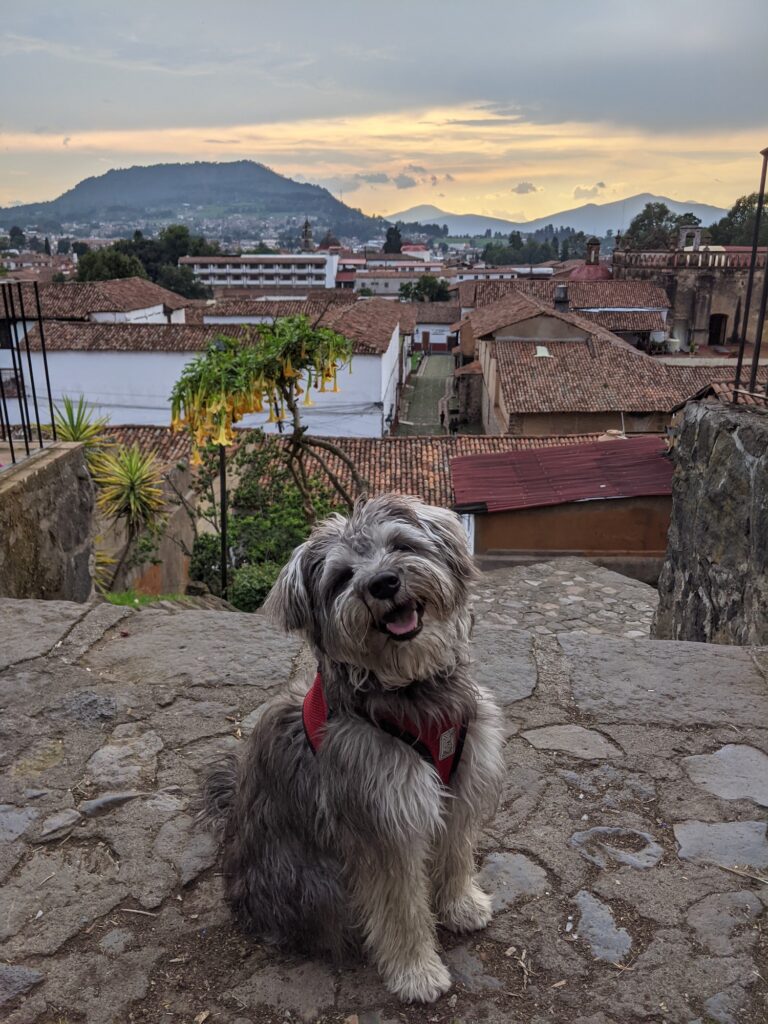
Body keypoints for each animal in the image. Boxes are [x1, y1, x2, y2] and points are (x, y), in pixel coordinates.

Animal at [201, 491, 507, 1003]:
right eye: (342, 577)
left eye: (401, 545)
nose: (383, 583)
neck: (410, 692)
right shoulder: (383, 822)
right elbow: (402, 909)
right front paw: (417, 972)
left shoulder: (459, 785)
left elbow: (455, 854)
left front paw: (461, 905)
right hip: (318, 882)